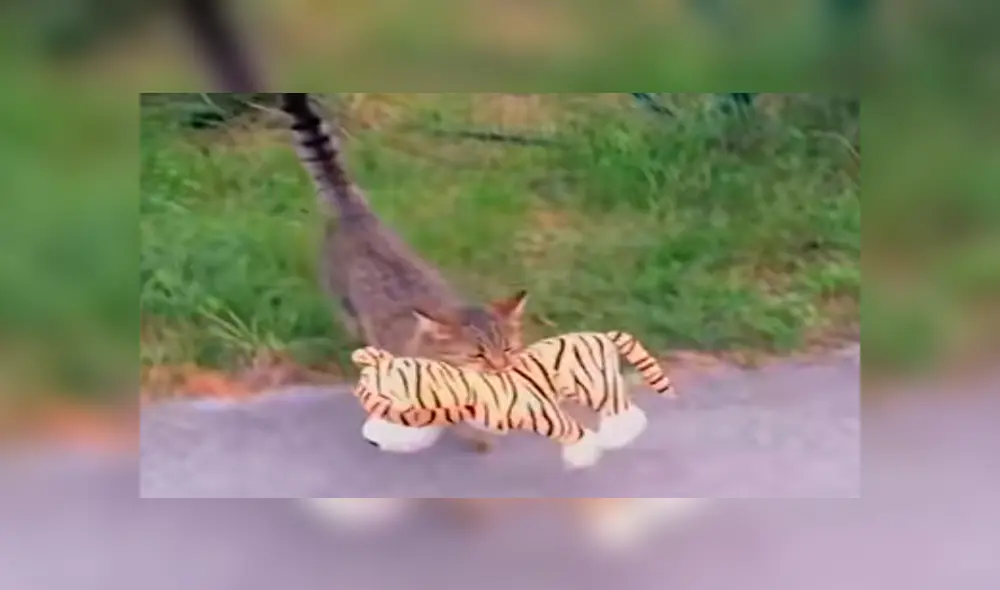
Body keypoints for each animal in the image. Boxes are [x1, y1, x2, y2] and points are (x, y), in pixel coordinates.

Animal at [355, 330, 676, 457]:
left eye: (385, 411)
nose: (369, 440)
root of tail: (602, 335)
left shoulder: (542, 412)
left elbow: (571, 432)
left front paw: (581, 456)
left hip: (594, 386)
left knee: (626, 413)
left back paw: (613, 438)